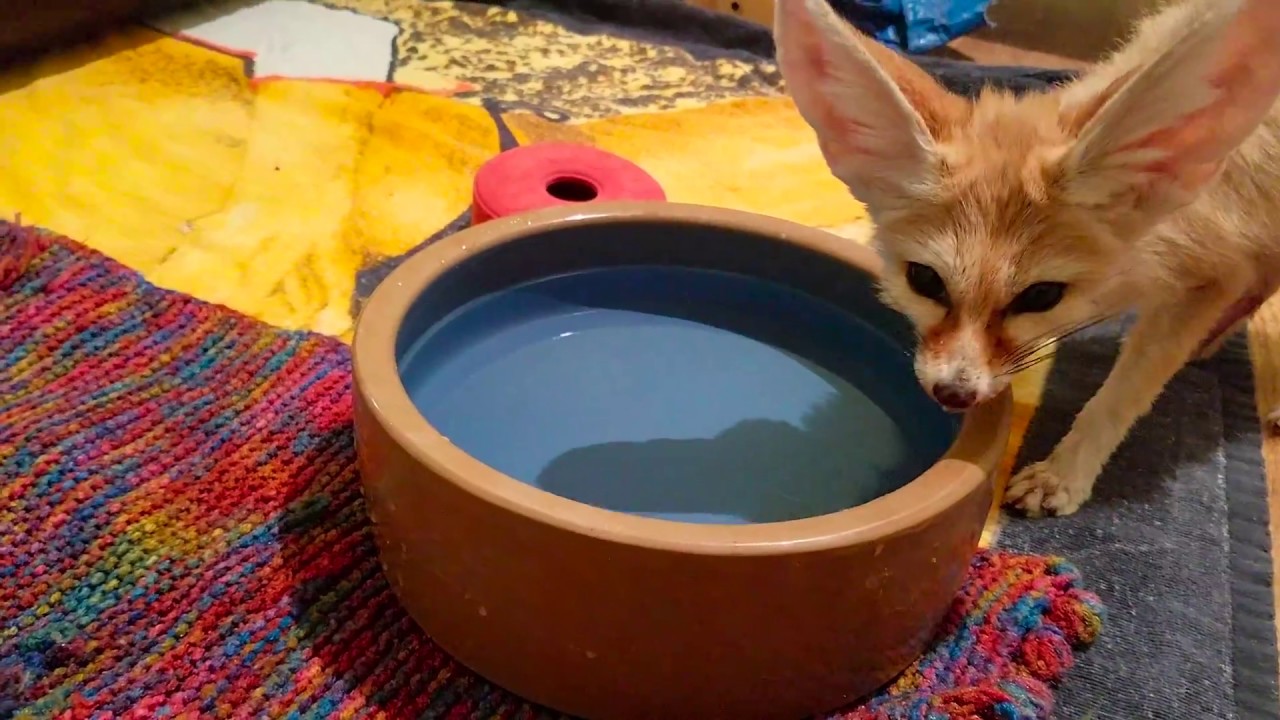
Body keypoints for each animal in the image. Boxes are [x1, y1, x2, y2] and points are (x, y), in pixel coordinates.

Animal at [774, 0, 1280, 517]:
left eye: (1041, 296)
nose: (955, 393)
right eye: (925, 280)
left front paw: (1063, 475)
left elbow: (1120, 396)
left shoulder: (1211, 273)